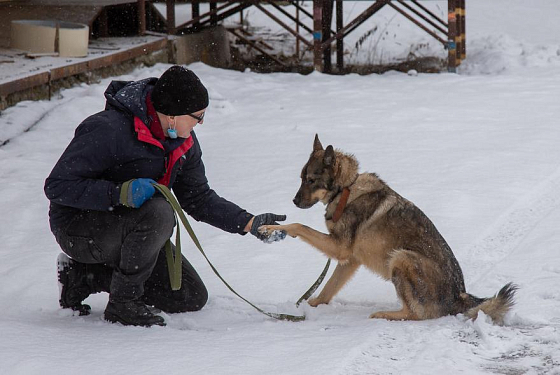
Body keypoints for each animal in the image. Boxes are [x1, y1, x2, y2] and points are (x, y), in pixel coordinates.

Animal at [262, 136, 516, 326]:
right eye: (301, 179)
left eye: (311, 180)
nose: (294, 201)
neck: (346, 189)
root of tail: (459, 295)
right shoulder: (349, 260)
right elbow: (327, 290)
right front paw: (309, 308)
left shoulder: (339, 249)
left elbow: (298, 225)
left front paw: (270, 227)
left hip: (400, 258)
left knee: (417, 314)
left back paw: (383, 315)